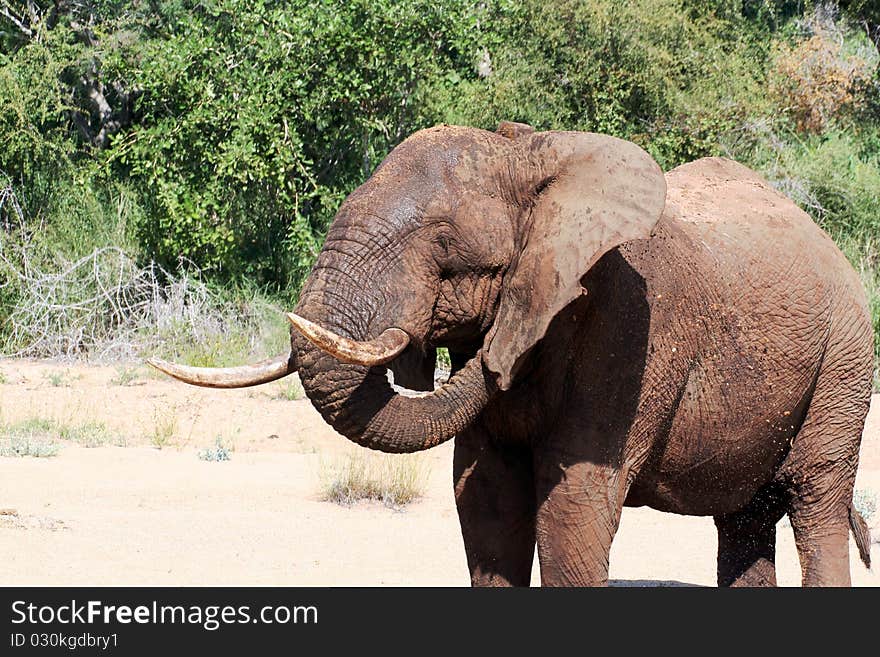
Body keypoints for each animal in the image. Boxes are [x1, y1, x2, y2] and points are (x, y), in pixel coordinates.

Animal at [151, 123, 872, 584]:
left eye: (444, 244)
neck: (529, 160)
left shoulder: (630, 335)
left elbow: (573, 518)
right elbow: (487, 508)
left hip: (845, 361)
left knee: (817, 503)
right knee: (744, 523)